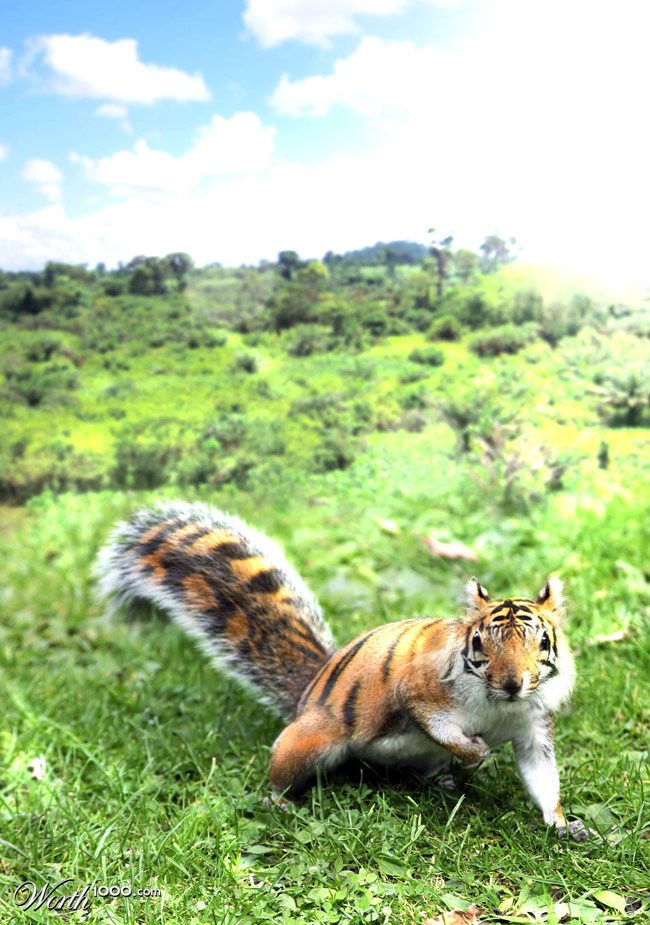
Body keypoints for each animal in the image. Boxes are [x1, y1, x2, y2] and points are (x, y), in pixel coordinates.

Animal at [95, 501, 590, 840]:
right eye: (478, 643)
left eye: (543, 642)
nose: (512, 683)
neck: (501, 707)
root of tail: (309, 690)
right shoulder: (421, 692)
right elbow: (439, 726)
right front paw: (475, 752)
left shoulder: (533, 727)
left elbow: (541, 776)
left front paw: (562, 823)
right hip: (309, 741)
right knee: (284, 773)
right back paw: (280, 801)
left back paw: (445, 781)